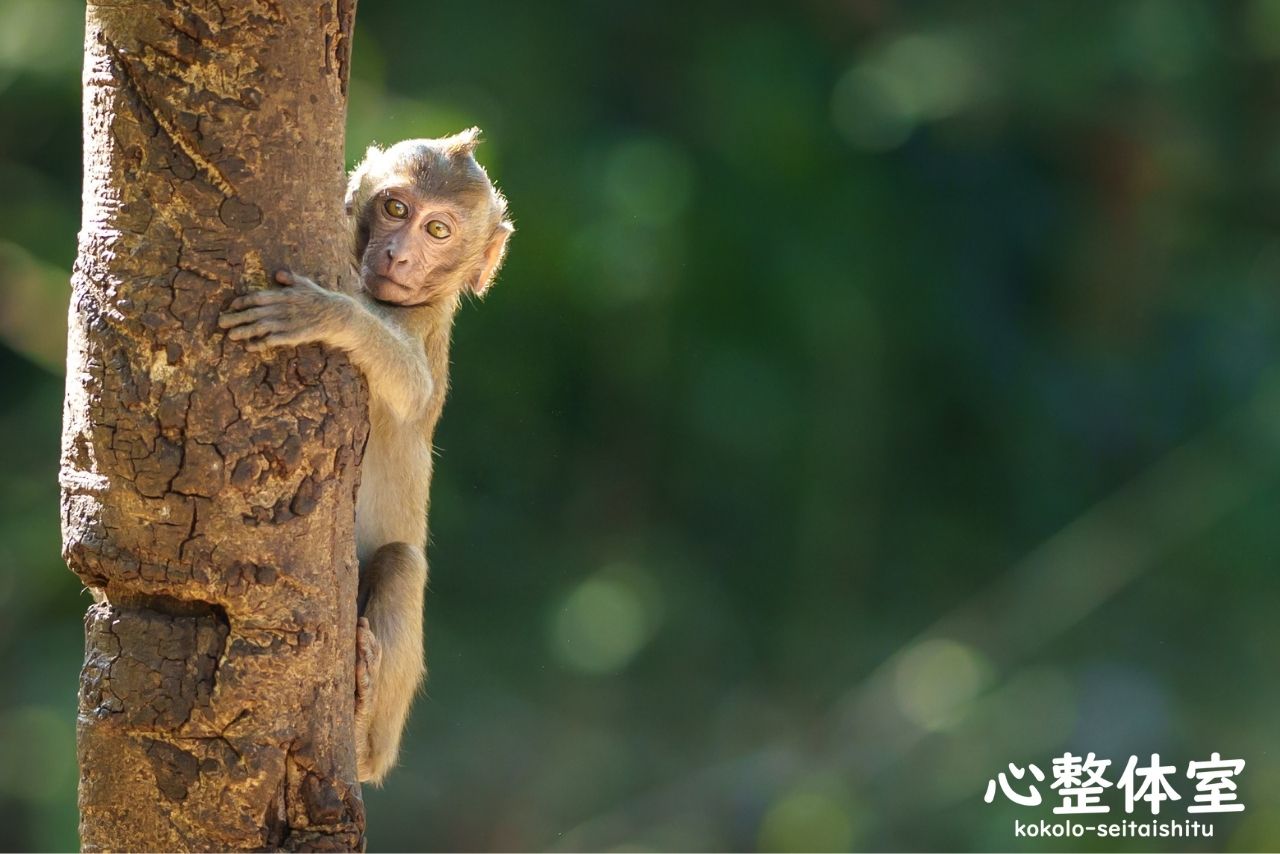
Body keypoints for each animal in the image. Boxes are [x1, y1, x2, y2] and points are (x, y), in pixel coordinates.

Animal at [220, 128, 514, 788]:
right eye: (395, 208)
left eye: (438, 230)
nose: (398, 255)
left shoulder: (423, 330)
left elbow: (409, 384)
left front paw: (327, 314)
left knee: (402, 562)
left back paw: (357, 736)